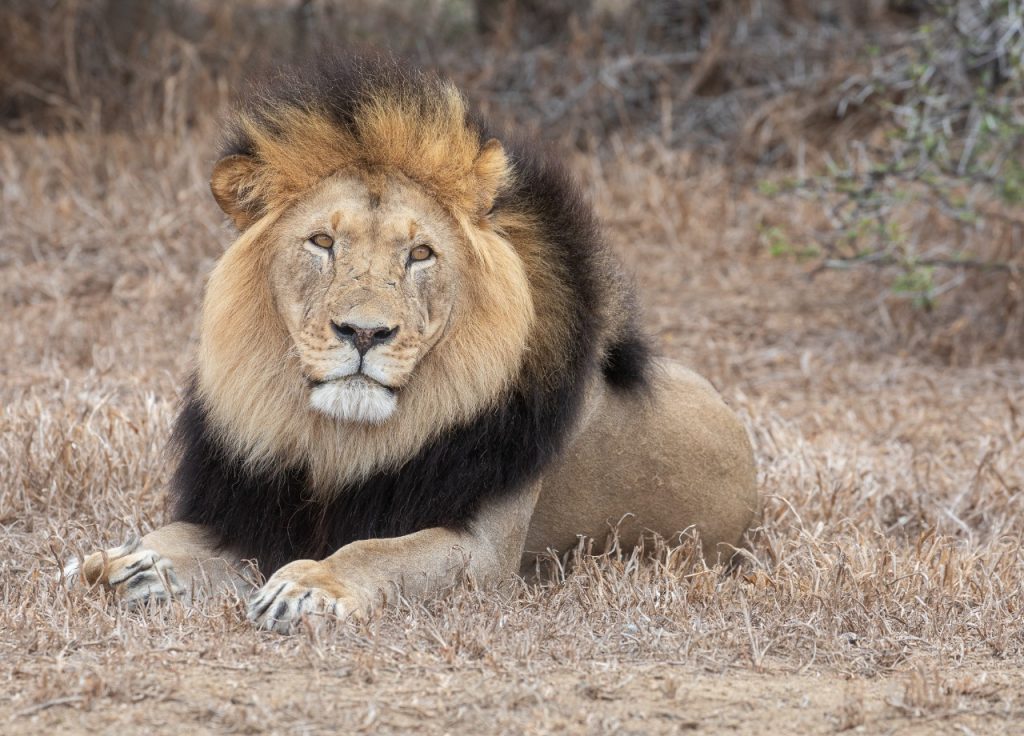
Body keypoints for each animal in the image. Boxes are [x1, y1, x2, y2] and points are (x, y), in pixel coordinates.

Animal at [61, 56, 753, 634]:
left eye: (420, 254)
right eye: (323, 242)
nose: (365, 332)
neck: (337, 441)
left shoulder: (484, 552)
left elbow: (379, 551)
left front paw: (311, 586)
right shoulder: (249, 513)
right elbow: (170, 539)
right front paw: (126, 562)